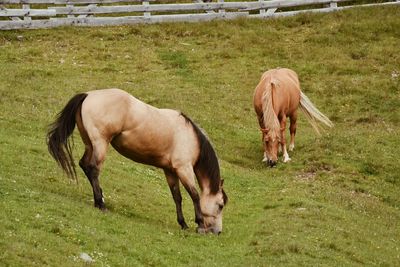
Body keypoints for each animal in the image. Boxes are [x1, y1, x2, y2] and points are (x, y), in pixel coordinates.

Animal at [46, 89, 228, 234]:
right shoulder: (183, 169)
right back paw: (100, 203)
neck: (191, 137)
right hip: (100, 144)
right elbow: (195, 195)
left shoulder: (170, 171)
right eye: (220, 205)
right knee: (93, 169)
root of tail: (89, 94)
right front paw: (199, 224)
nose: (217, 231)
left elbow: (177, 197)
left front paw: (183, 223)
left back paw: (100, 200)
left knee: (85, 165)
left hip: (90, 143)